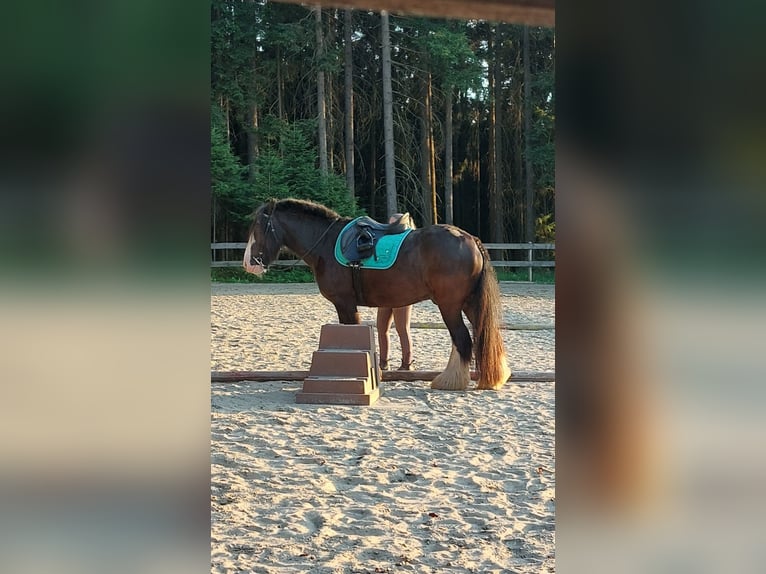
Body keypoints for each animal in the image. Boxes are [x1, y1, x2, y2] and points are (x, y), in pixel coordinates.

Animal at [243, 198, 510, 390]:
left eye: (259, 227)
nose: (249, 263)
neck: (326, 244)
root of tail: (471, 239)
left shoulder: (345, 304)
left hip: (450, 305)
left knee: (462, 340)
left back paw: (450, 381)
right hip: (469, 304)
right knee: (481, 336)